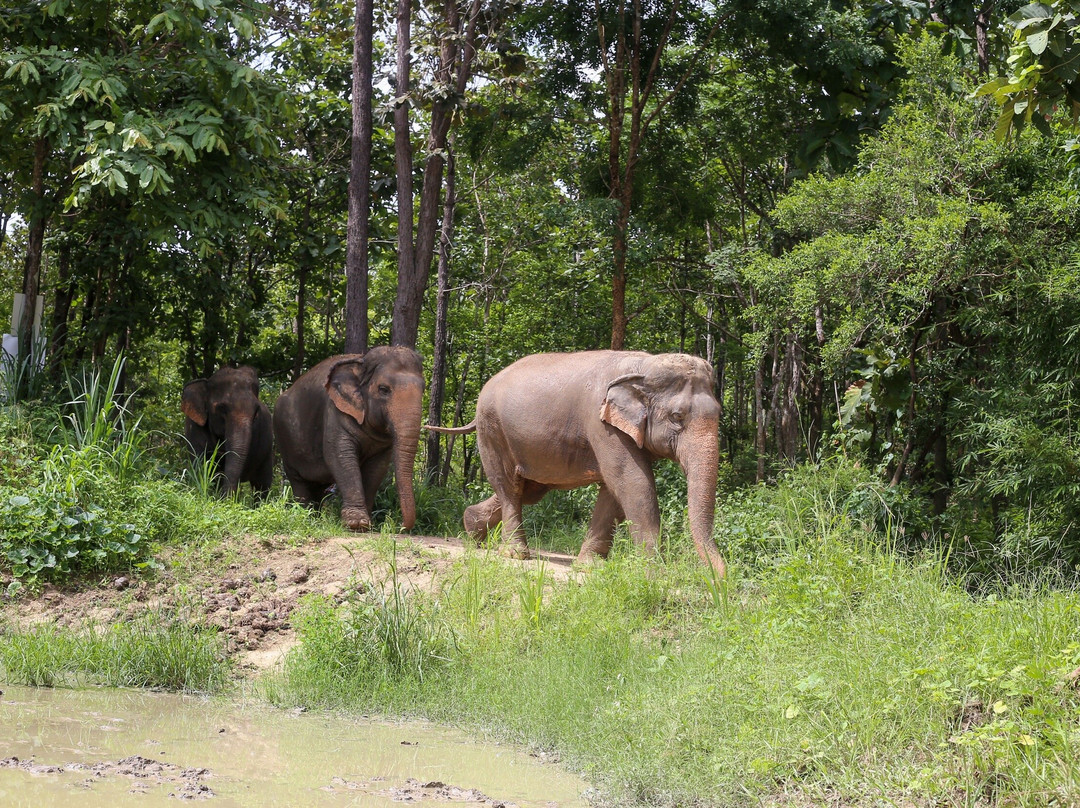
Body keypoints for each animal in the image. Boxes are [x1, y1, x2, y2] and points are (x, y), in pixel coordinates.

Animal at [273, 347, 424, 531]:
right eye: (383, 389)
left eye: (424, 389)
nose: (399, 526)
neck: (361, 362)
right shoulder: (335, 412)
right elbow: (340, 456)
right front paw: (356, 524)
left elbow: (377, 467)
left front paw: (367, 525)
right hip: (285, 440)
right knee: (298, 480)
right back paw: (305, 517)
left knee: (318, 485)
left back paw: (316, 518)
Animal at [427, 350, 726, 575]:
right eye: (677, 417)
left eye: (719, 413)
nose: (722, 578)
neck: (645, 365)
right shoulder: (602, 425)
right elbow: (632, 481)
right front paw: (654, 570)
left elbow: (614, 489)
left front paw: (590, 566)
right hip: (492, 429)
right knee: (508, 486)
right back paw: (514, 553)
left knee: (528, 490)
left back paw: (471, 530)